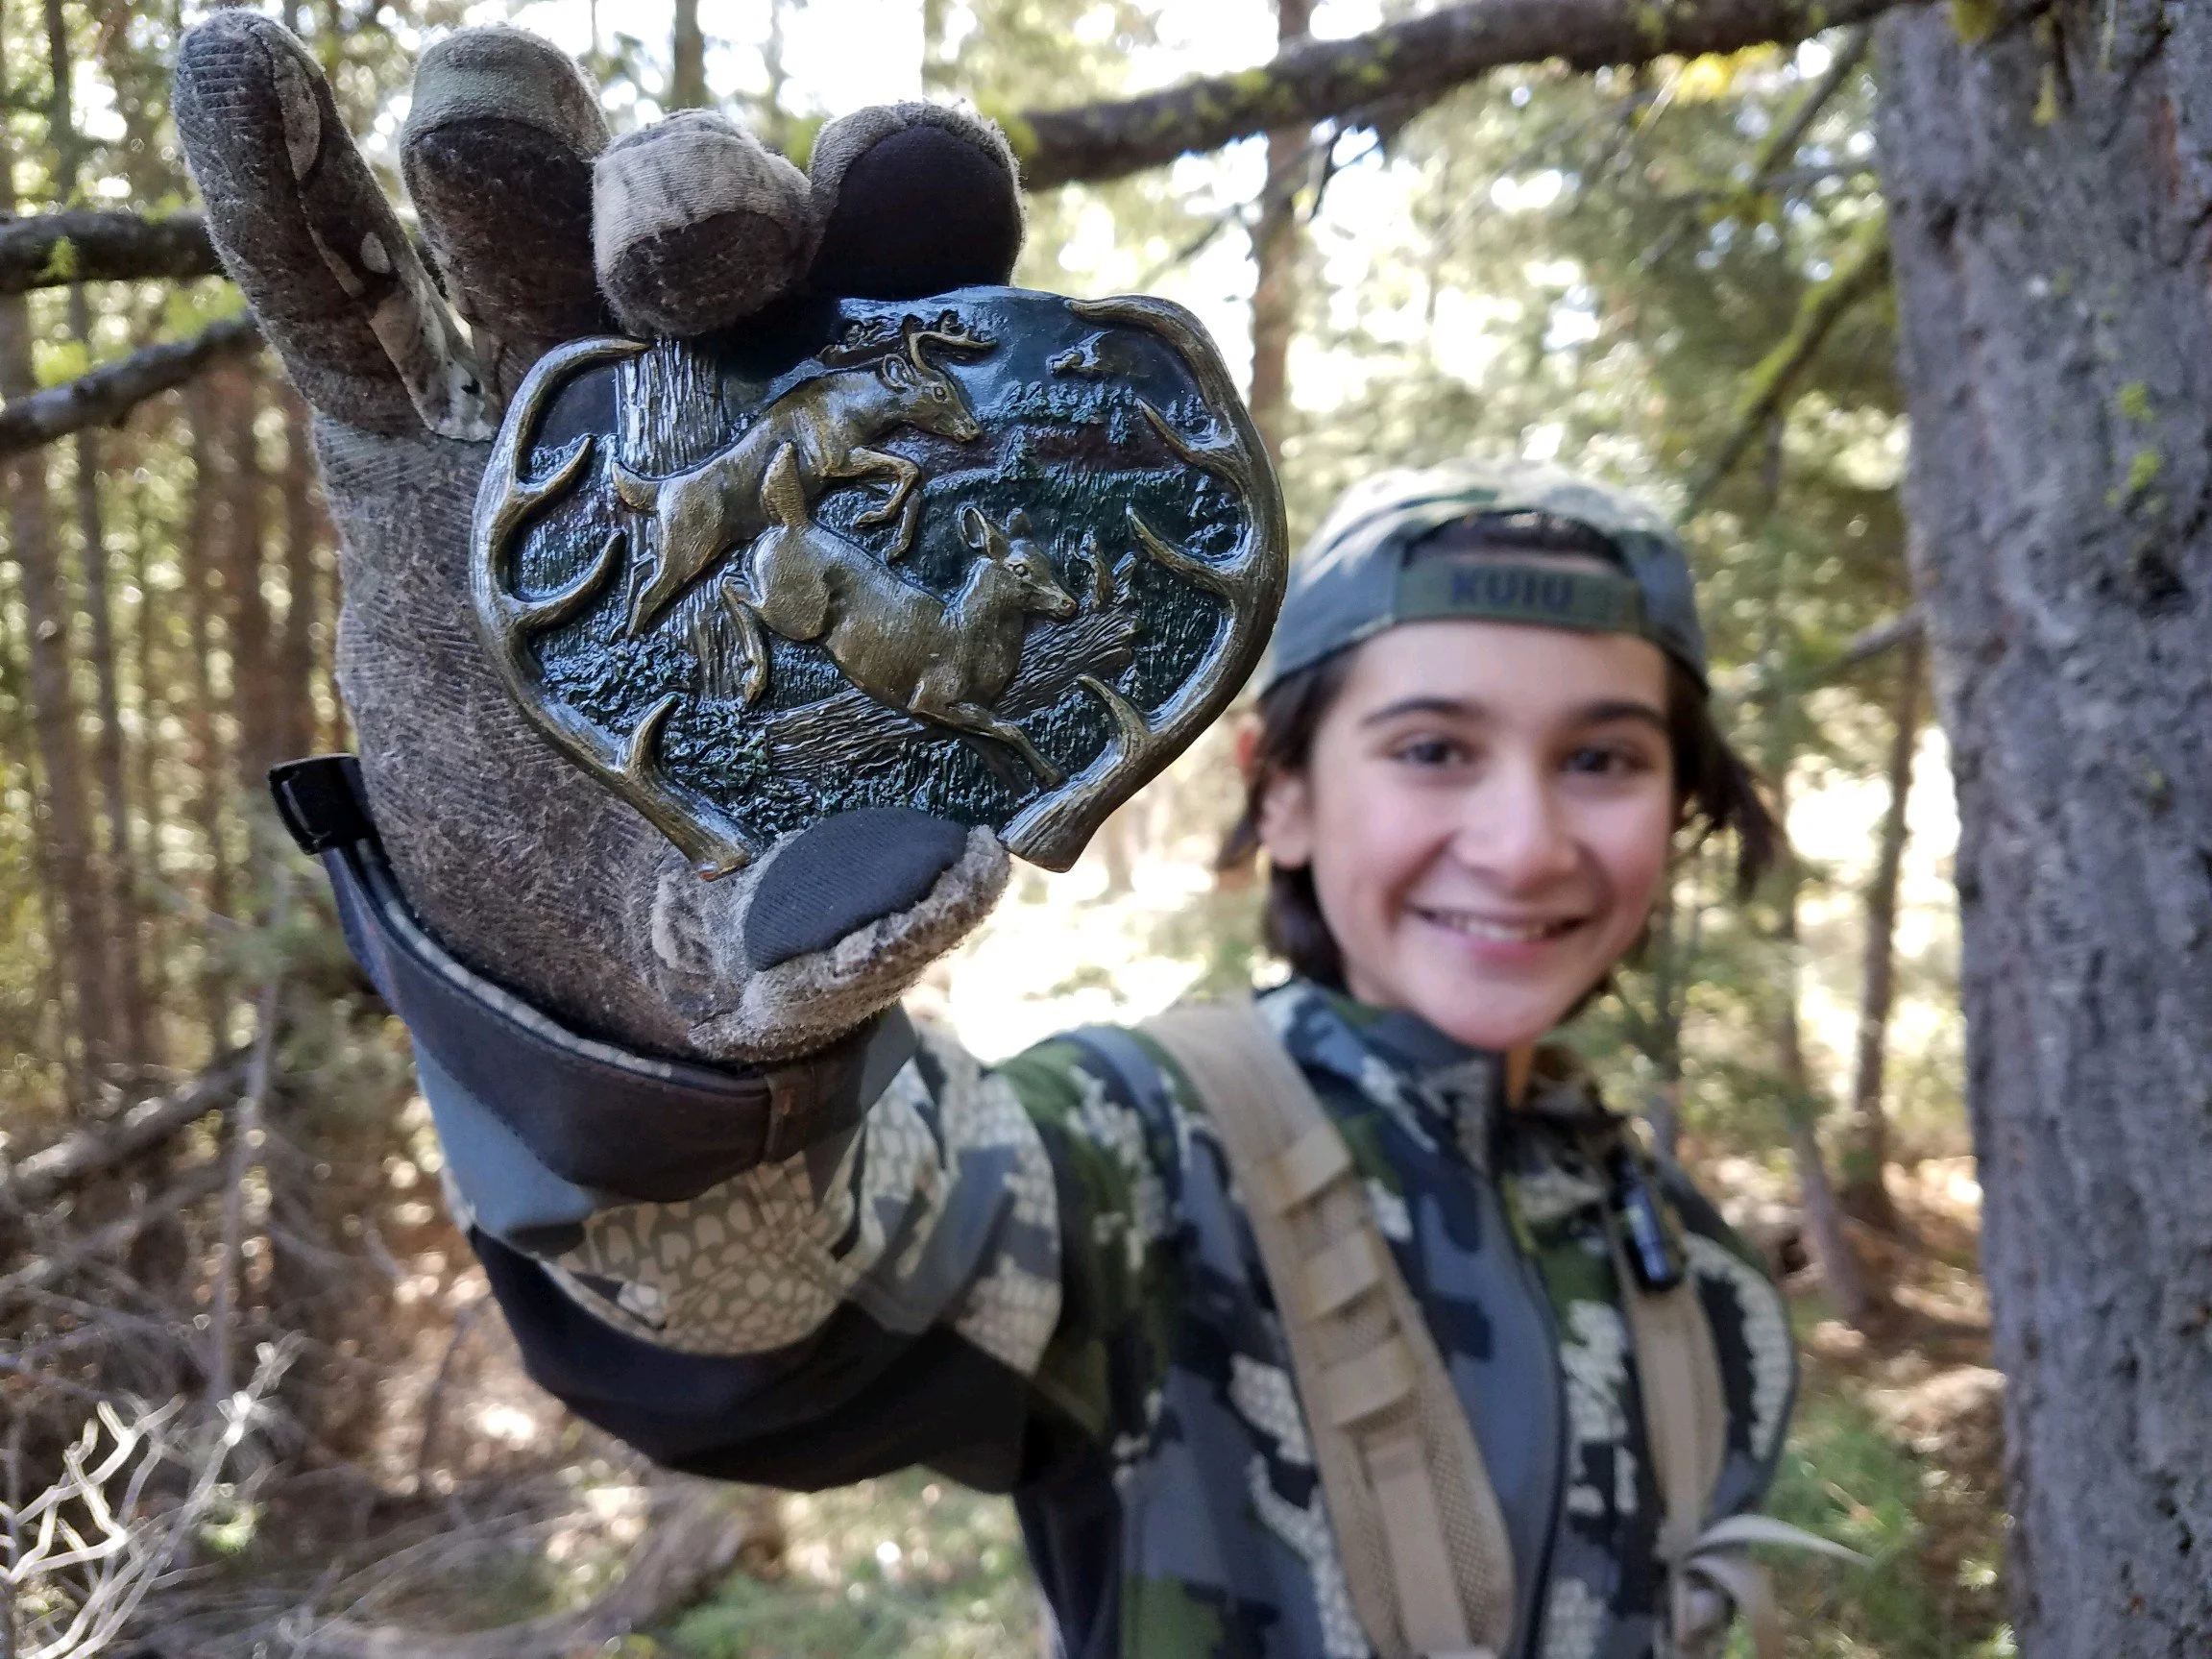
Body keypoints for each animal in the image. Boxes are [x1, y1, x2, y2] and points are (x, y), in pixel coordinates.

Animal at [610, 317, 992, 638]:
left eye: (951, 385)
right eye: (939, 391)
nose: (973, 429)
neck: (856, 406)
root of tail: (660, 490)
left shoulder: (841, 471)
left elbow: (909, 482)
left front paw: (892, 543)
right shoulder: (836, 460)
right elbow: (910, 469)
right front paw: (872, 518)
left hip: (670, 545)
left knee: (641, 569)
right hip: (689, 547)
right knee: (651, 593)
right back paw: (632, 638)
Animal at [723, 443, 1079, 786]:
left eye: (1048, 562)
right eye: (1020, 569)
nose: (1069, 604)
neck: (964, 632)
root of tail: (792, 523)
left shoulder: (961, 716)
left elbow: (999, 755)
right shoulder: (931, 696)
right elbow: (1008, 727)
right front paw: (1052, 773)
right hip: (797, 610)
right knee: (731, 585)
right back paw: (753, 678)